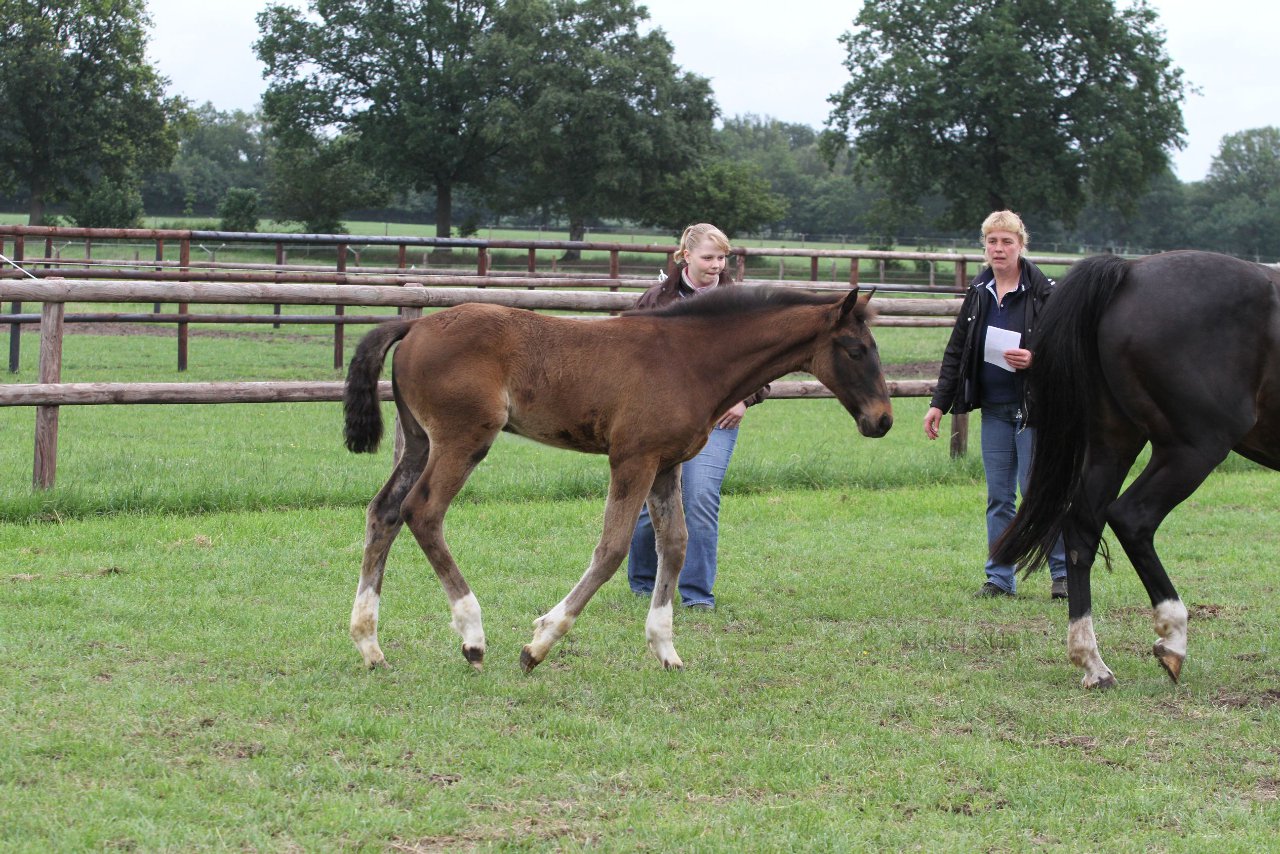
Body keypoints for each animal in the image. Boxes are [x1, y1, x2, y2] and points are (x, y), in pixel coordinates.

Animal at [345, 286, 896, 676]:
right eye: (854, 349)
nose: (883, 420)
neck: (689, 359)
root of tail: (414, 326)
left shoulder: (667, 464)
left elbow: (674, 544)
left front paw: (666, 647)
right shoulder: (633, 459)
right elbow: (611, 549)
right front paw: (540, 642)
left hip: (420, 441)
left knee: (384, 512)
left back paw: (370, 644)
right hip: (463, 440)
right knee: (423, 511)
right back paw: (473, 636)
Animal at [993, 250, 1280, 691]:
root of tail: (1129, 270)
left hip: (1114, 442)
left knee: (1082, 526)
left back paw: (1093, 663)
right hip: (1192, 448)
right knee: (1132, 517)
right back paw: (1172, 637)